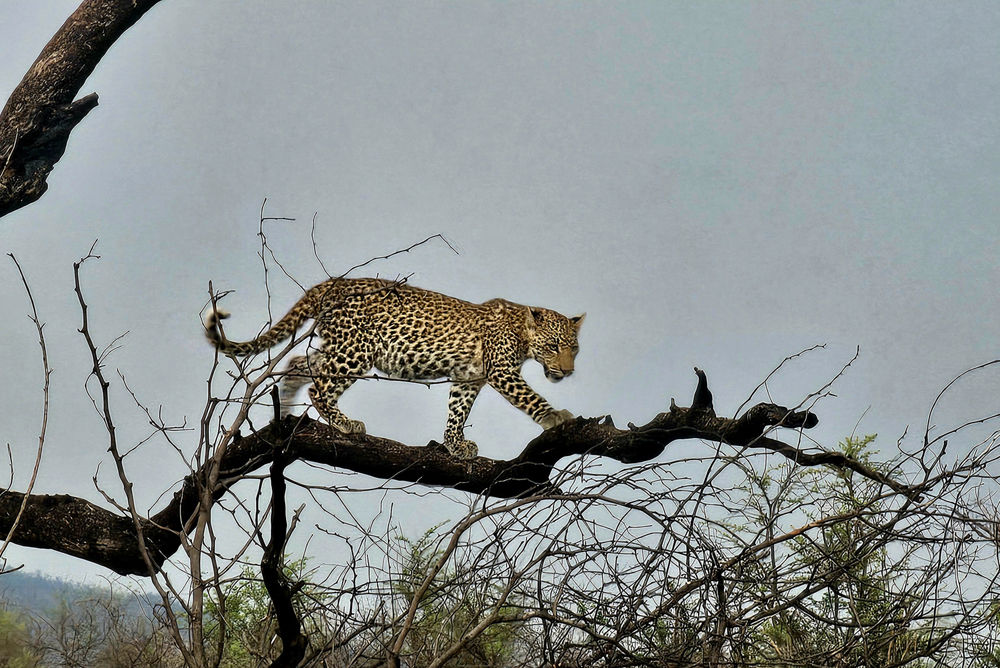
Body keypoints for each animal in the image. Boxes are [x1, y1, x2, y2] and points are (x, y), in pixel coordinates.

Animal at [203, 278, 584, 460]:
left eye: (574, 349)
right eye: (554, 346)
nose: (566, 372)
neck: (522, 332)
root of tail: (332, 283)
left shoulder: (467, 378)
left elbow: (457, 412)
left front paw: (454, 445)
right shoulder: (501, 371)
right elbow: (530, 397)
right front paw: (557, 417)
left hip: (337, 344)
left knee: (298, 364)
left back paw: (283, 408)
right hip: (357, 350)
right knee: (319, 386)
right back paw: (344, 423)